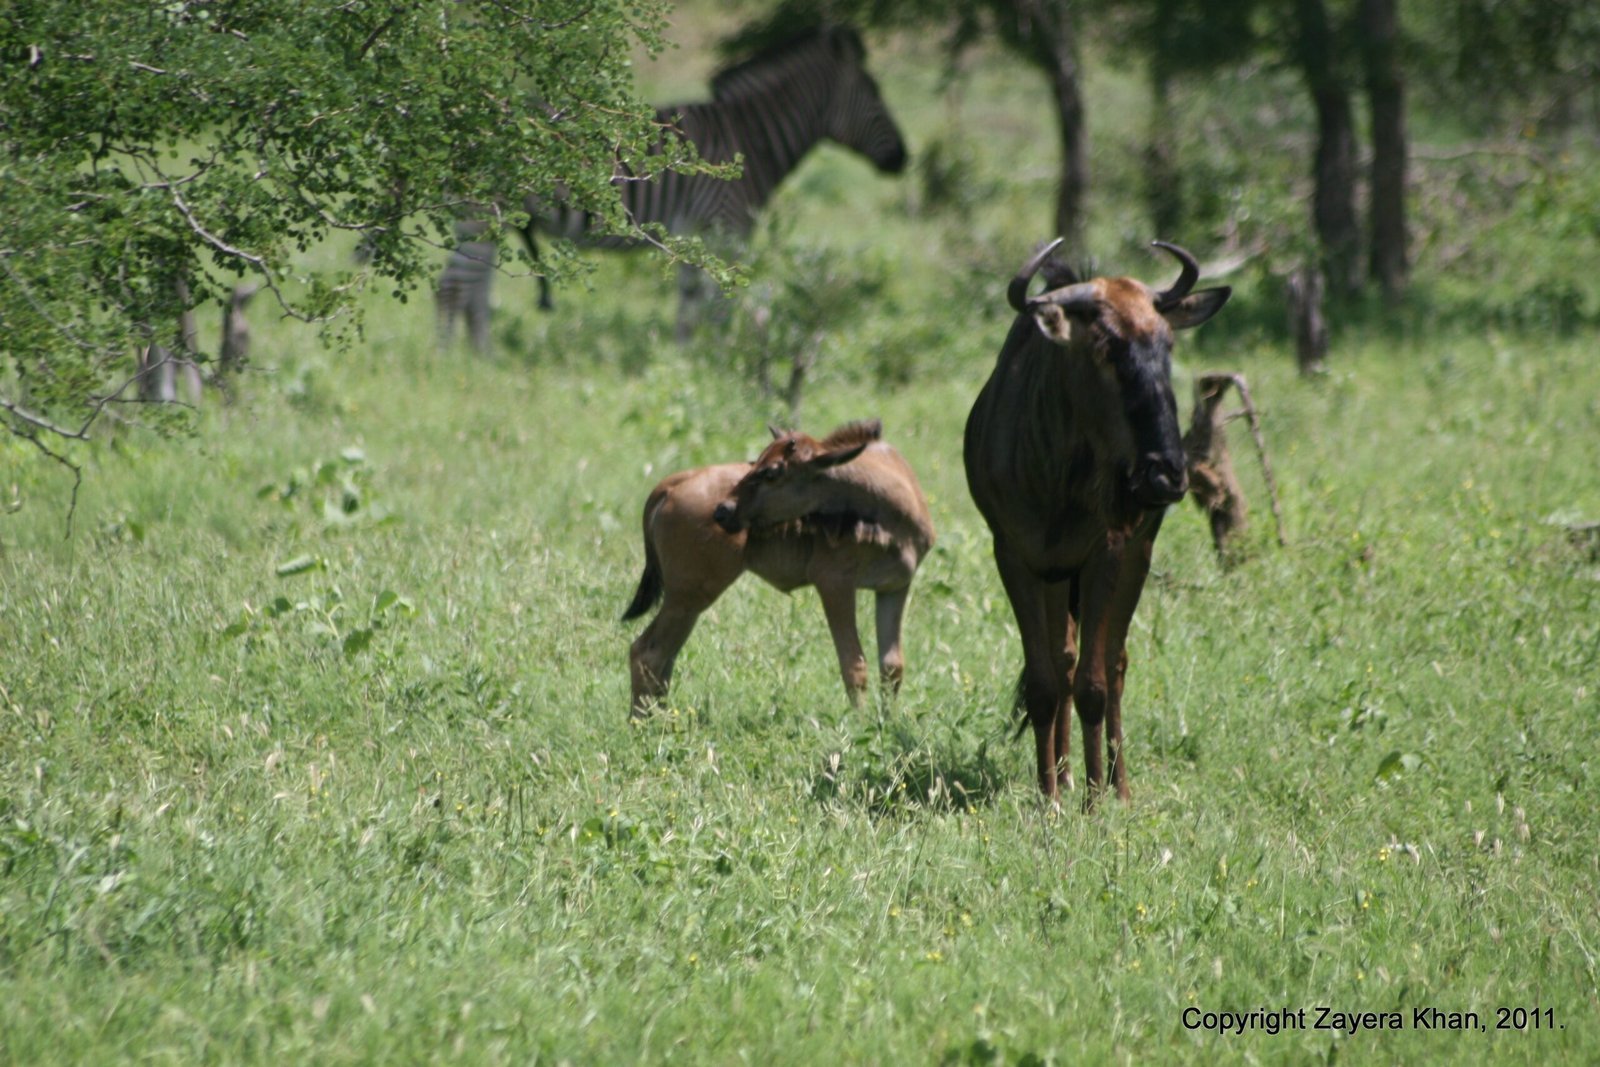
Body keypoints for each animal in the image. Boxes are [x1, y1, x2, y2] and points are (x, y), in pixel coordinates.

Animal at [623, 420, 935, 717]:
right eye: (755, 463)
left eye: (771, 472)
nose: (722, 511)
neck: (891, 514)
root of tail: (670, 485)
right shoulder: (834, 583)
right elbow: (854, 664)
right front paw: (861, 724)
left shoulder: (895, 586)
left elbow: (892, 665)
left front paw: (887, 722)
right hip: (690, 596)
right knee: (647, 652)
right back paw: (642, 724)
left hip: (689, 600)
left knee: (665, 655)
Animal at [963, 239, 1231, 806]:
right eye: (1105, 347)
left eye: (1167, 344)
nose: (1166, 474)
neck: (1057, 477)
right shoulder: (1016, 557)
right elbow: (1045, 682)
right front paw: (1050, 797)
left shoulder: (1107, 551)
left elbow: (1095, 683)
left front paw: (1093, 800)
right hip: (1058, 576)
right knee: (1064, 662)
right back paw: (1062, 775)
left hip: (1133, 558)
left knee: (1113, 663)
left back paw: (1117, 784)